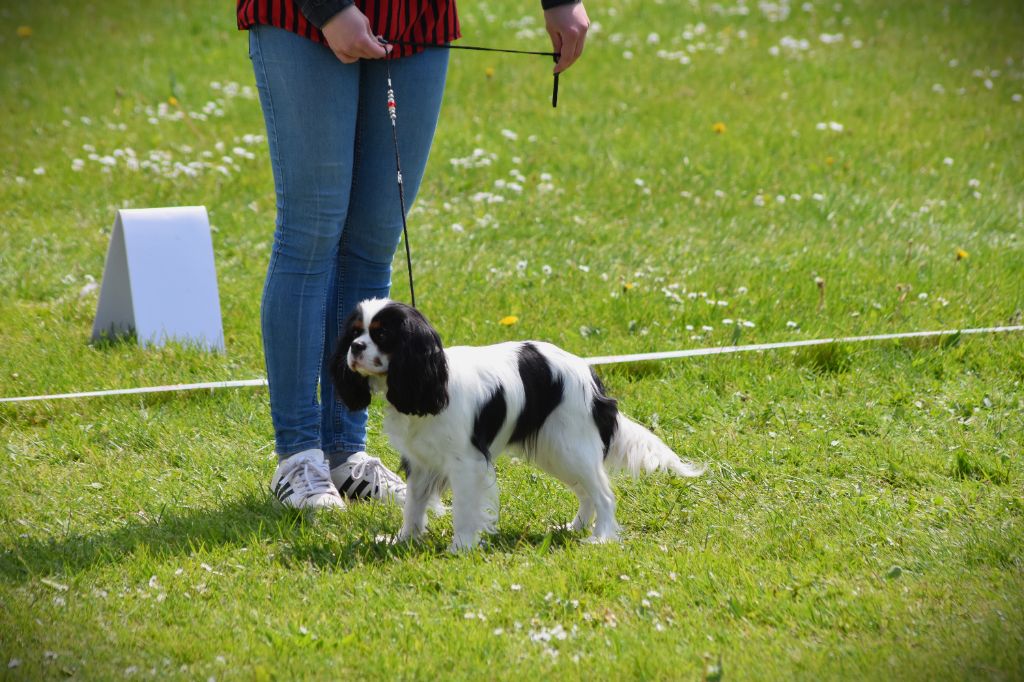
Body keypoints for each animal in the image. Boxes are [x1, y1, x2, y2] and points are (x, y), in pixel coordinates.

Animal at [331, 301, 708, 548]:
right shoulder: (422, 463)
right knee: (586, 492)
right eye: (354, 333)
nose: (355, 347)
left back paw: (601, 537)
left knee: (603, 493)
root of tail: (591, 377)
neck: (432, 379)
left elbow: (466, 507)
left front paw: (462, 546)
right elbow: (413, 505)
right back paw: (573, 527)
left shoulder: (466, 463)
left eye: (382, 335)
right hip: (556, 452)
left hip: (570, 446)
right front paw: (403, 539)